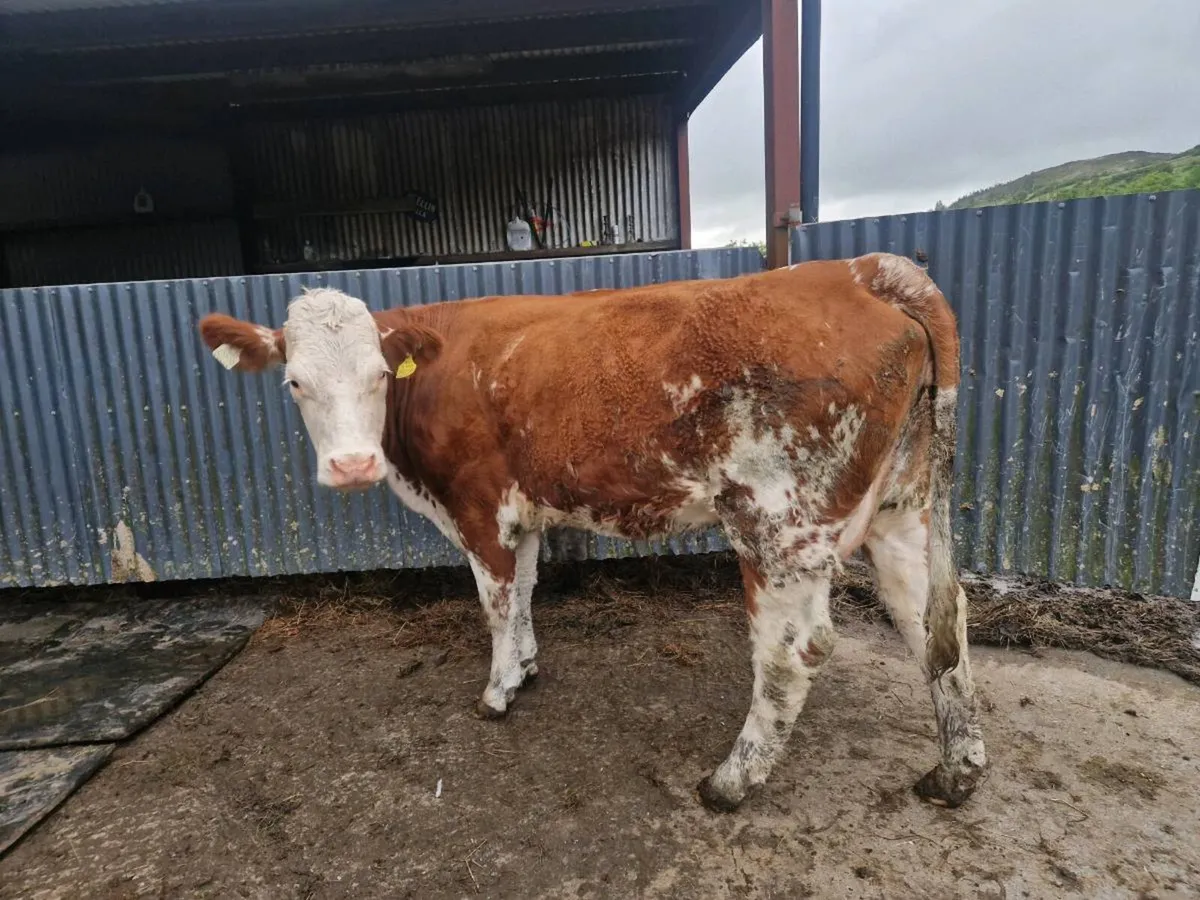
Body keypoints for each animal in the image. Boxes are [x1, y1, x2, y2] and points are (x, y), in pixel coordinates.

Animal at [198, 253, 987, 813]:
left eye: (377, 375)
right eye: (295, 381)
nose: (352, 465)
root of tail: (863, 269)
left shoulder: (478, 507)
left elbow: (495, 601)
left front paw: (497, 693)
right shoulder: (523, 510)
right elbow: (524, 591)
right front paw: (526, 666)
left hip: (777, 522)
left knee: (794, 653)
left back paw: (729, 783)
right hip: (901, 505)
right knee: (932, 618)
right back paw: (956, 772)